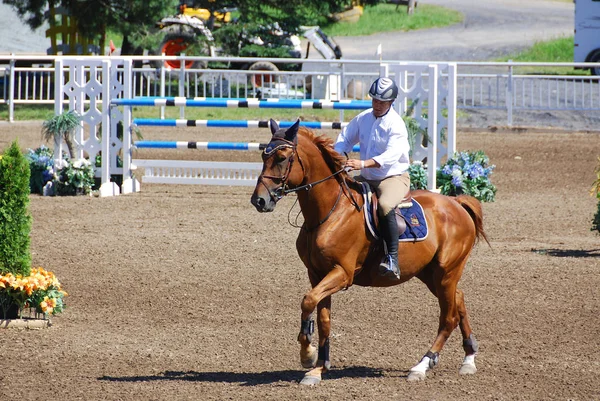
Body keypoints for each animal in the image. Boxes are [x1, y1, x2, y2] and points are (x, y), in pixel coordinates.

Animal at [251, 119, 490, 384]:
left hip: (446, 272)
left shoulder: (342, 273)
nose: (259, 201)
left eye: (282, 158)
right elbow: (323, 318)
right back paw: (468, 358)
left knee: (448, 317)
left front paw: (307, 354)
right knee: (459, 300)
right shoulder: (317, 274)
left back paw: (422, 365)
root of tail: (456, 203)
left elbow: (308, 301)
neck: (330, 211)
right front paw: (319, 368)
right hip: (431, 274)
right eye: (264, 155)